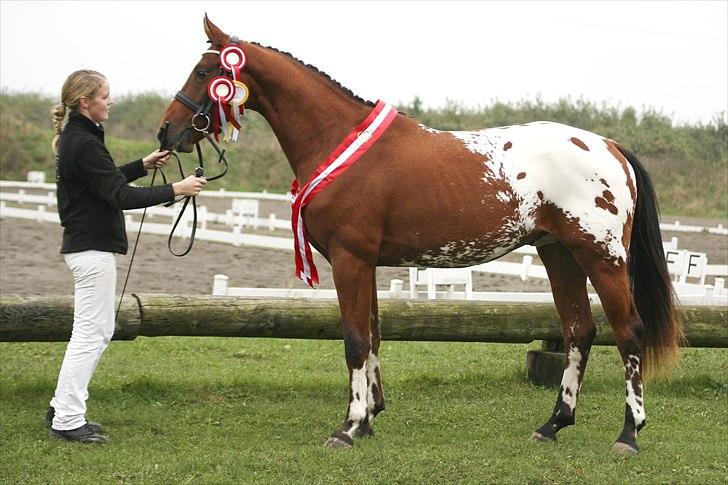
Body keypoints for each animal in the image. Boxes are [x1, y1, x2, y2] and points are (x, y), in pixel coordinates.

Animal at [159, 15, 684, 454]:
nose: (168, 133)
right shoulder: (366, 262)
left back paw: (629, 434)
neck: (339, 140)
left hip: (601, 257)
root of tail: (609, 145)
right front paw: (369, 418)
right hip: (560, 255)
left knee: (629, 333)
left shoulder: (350, 259)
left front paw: (347, 427)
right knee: (579, 331)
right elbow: (372, 336)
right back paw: (553, 424)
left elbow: (354, 339)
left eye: (205, 72)